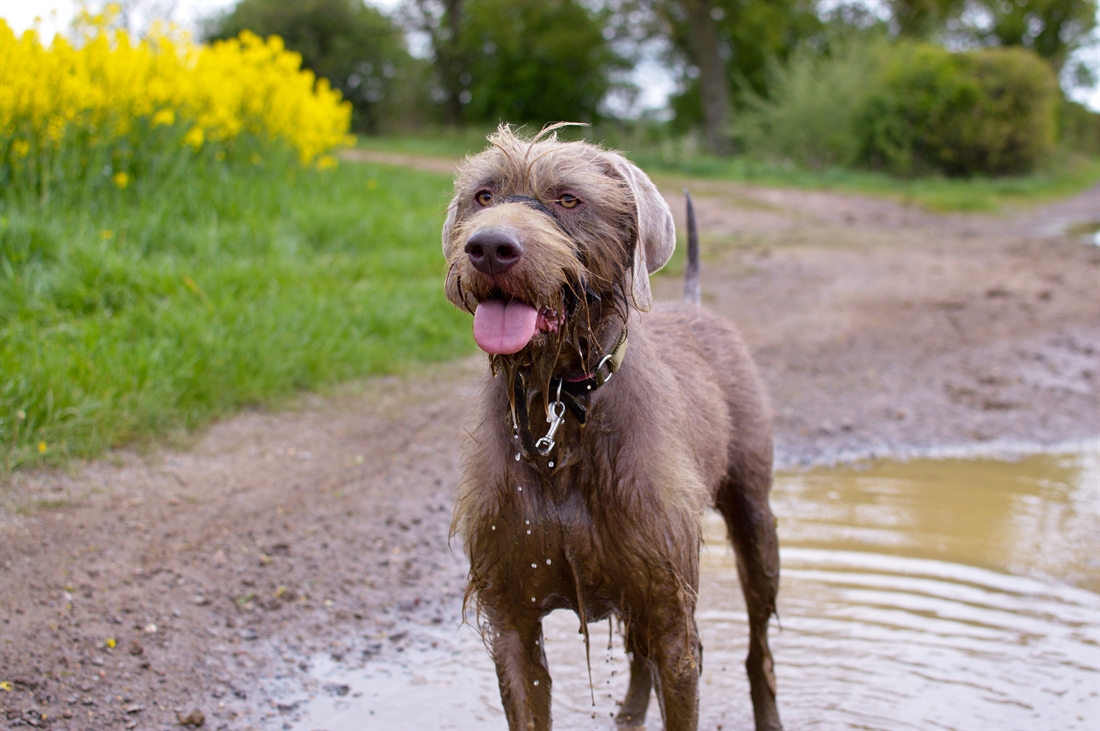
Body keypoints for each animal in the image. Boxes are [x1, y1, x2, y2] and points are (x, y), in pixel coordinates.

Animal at [440, 125, 783, 729]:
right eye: (483, 195)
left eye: (568, 199)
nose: (489, 247)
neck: (559, 411)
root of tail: (697, 305)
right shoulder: (512, 621)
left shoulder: (673, 621)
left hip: (754, 520)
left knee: (758, 647)